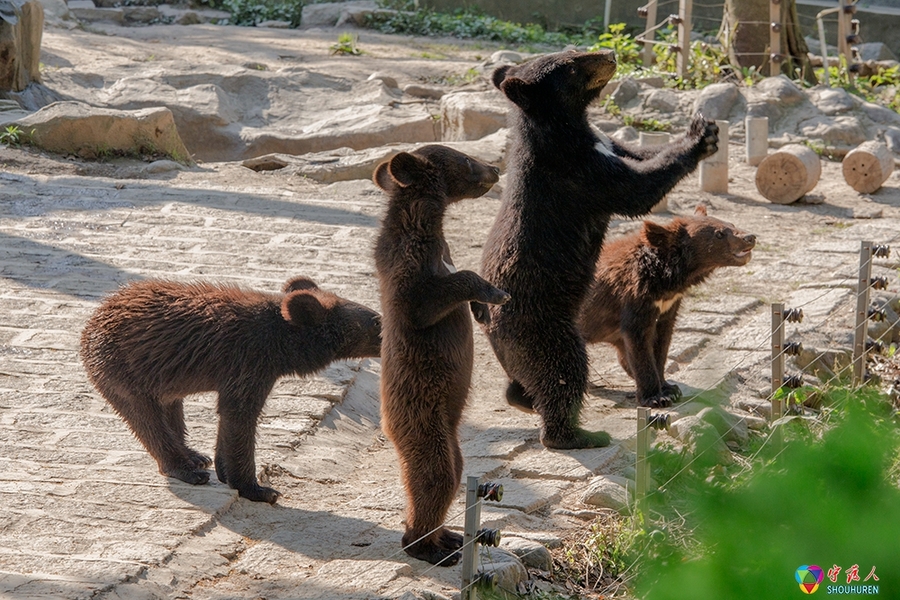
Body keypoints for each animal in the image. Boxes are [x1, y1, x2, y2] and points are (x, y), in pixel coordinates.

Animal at [78, 278, 384, 504]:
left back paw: (194, 455)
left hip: (160, 378)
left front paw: (223, 468)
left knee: (171, 410)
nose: (391, 330)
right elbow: (240, 415)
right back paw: (186, 468)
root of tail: (92, 320)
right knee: (147, 419)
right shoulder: (248, 360)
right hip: (124, 369)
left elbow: (230, 419)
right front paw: (259, 488)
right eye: (377, 321)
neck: (282, 345)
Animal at [374, 145, 510, 568]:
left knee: (454, 469)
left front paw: (483, 308)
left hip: (447, 426)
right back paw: (425, 545)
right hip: (421, 411)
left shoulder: (438, 251)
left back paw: (446, 537)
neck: (427, 227)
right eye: (466, 159)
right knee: (435, 475)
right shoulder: (408, 270)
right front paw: (496, 293)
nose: (495, 167)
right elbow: (432, 296)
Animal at [478, 49, 716, 448]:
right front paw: (699, 136)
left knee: (528, 379)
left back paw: (523, 400)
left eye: (573, 50)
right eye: (572, 62)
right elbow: (637, 188)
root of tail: (488, 321)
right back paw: (578, 434)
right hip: (545, 325)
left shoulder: (603, 144)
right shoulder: (578, 174)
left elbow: (638, 153)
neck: (569, 127)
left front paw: (706, 131)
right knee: (564, 371)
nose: (610, 53)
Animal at [576, 206, 752, 408]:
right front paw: (656, 397)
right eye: (719, 234)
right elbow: (639, 342)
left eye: (731, 224)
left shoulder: (669, 305)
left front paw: (670, 388)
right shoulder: (634, 299)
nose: (751, 237)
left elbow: (661, 341)